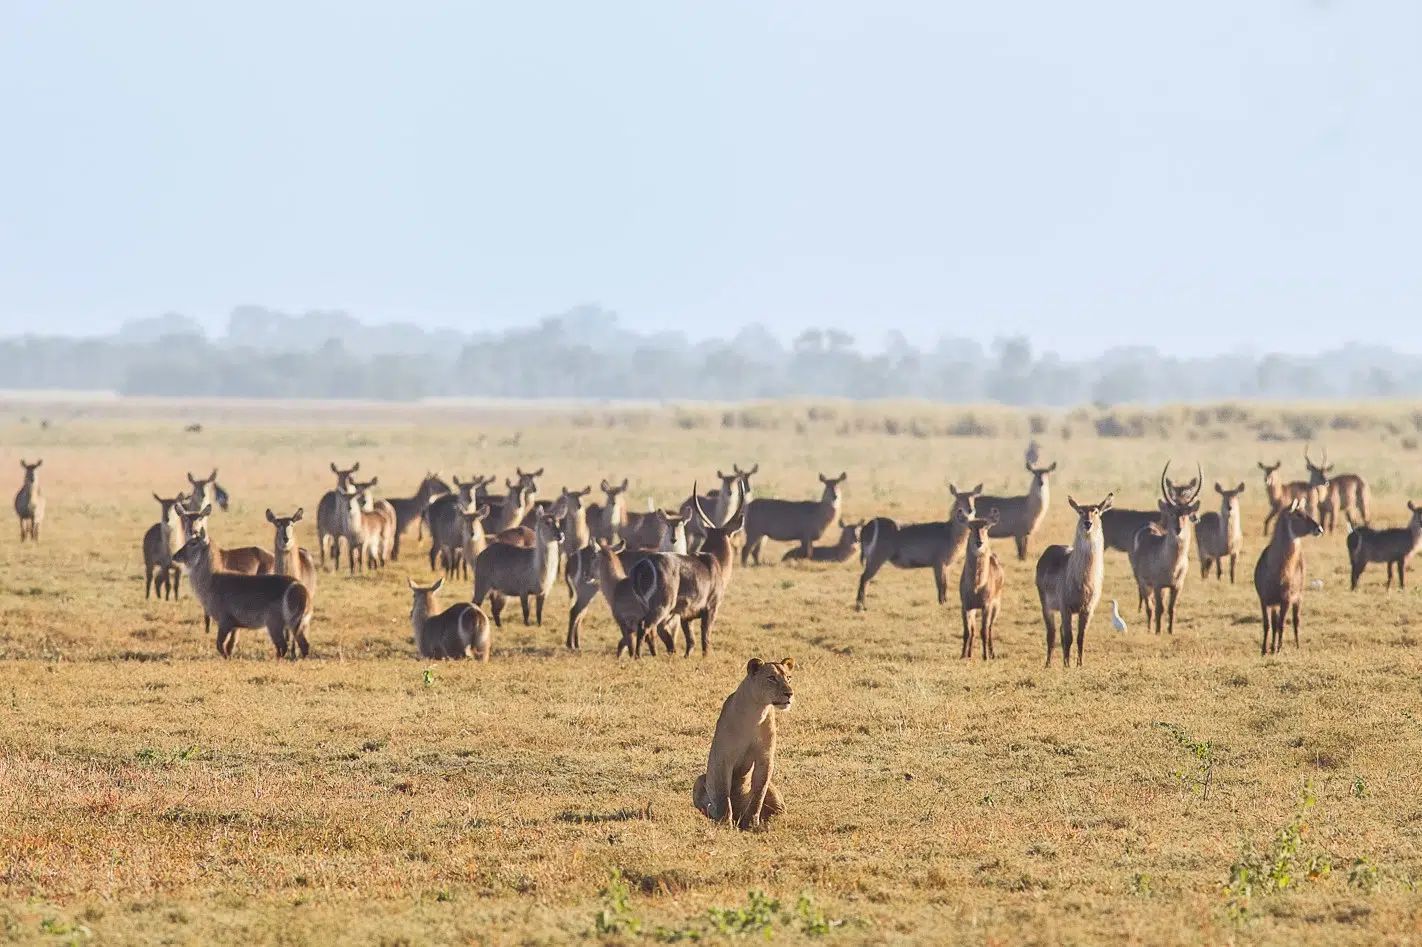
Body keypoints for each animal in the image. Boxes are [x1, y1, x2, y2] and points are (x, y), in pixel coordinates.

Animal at [692, 656, 795, 830]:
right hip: (699, 781)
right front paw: (725, 823)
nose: (789, 693)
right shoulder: (723, 758)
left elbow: (758, 794)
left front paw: (753, 824)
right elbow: (723, 796)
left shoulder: (765, 758)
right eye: (771, 678)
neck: (757, 712)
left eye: (788, 678)